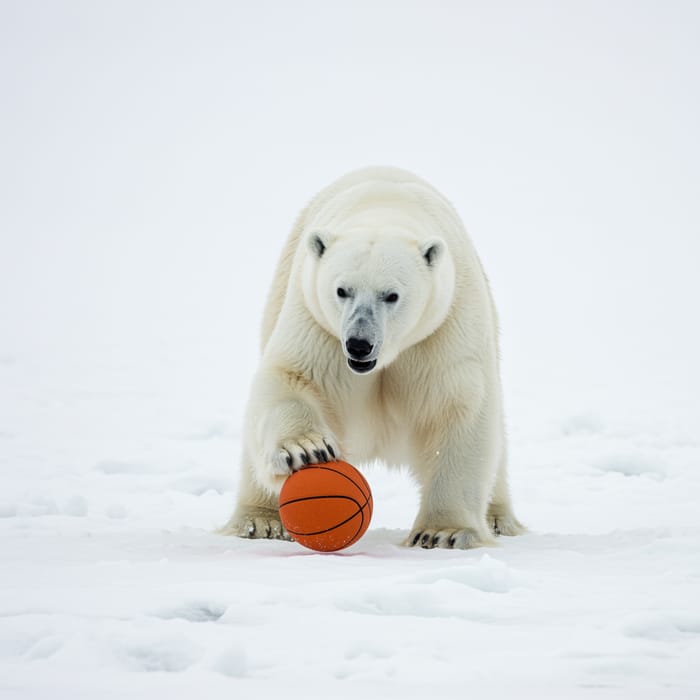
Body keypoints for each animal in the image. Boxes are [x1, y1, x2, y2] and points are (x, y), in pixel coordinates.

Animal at [221, 168, 524, 548]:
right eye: (342, 290)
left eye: (391, 295)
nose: (359, 344)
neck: (385, 207)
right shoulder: (317, 323)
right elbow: (291, 377)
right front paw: (306, 450)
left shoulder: (442, 329)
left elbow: (457, 405)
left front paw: (443, 532)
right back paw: (259, 521)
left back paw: (499, 518)